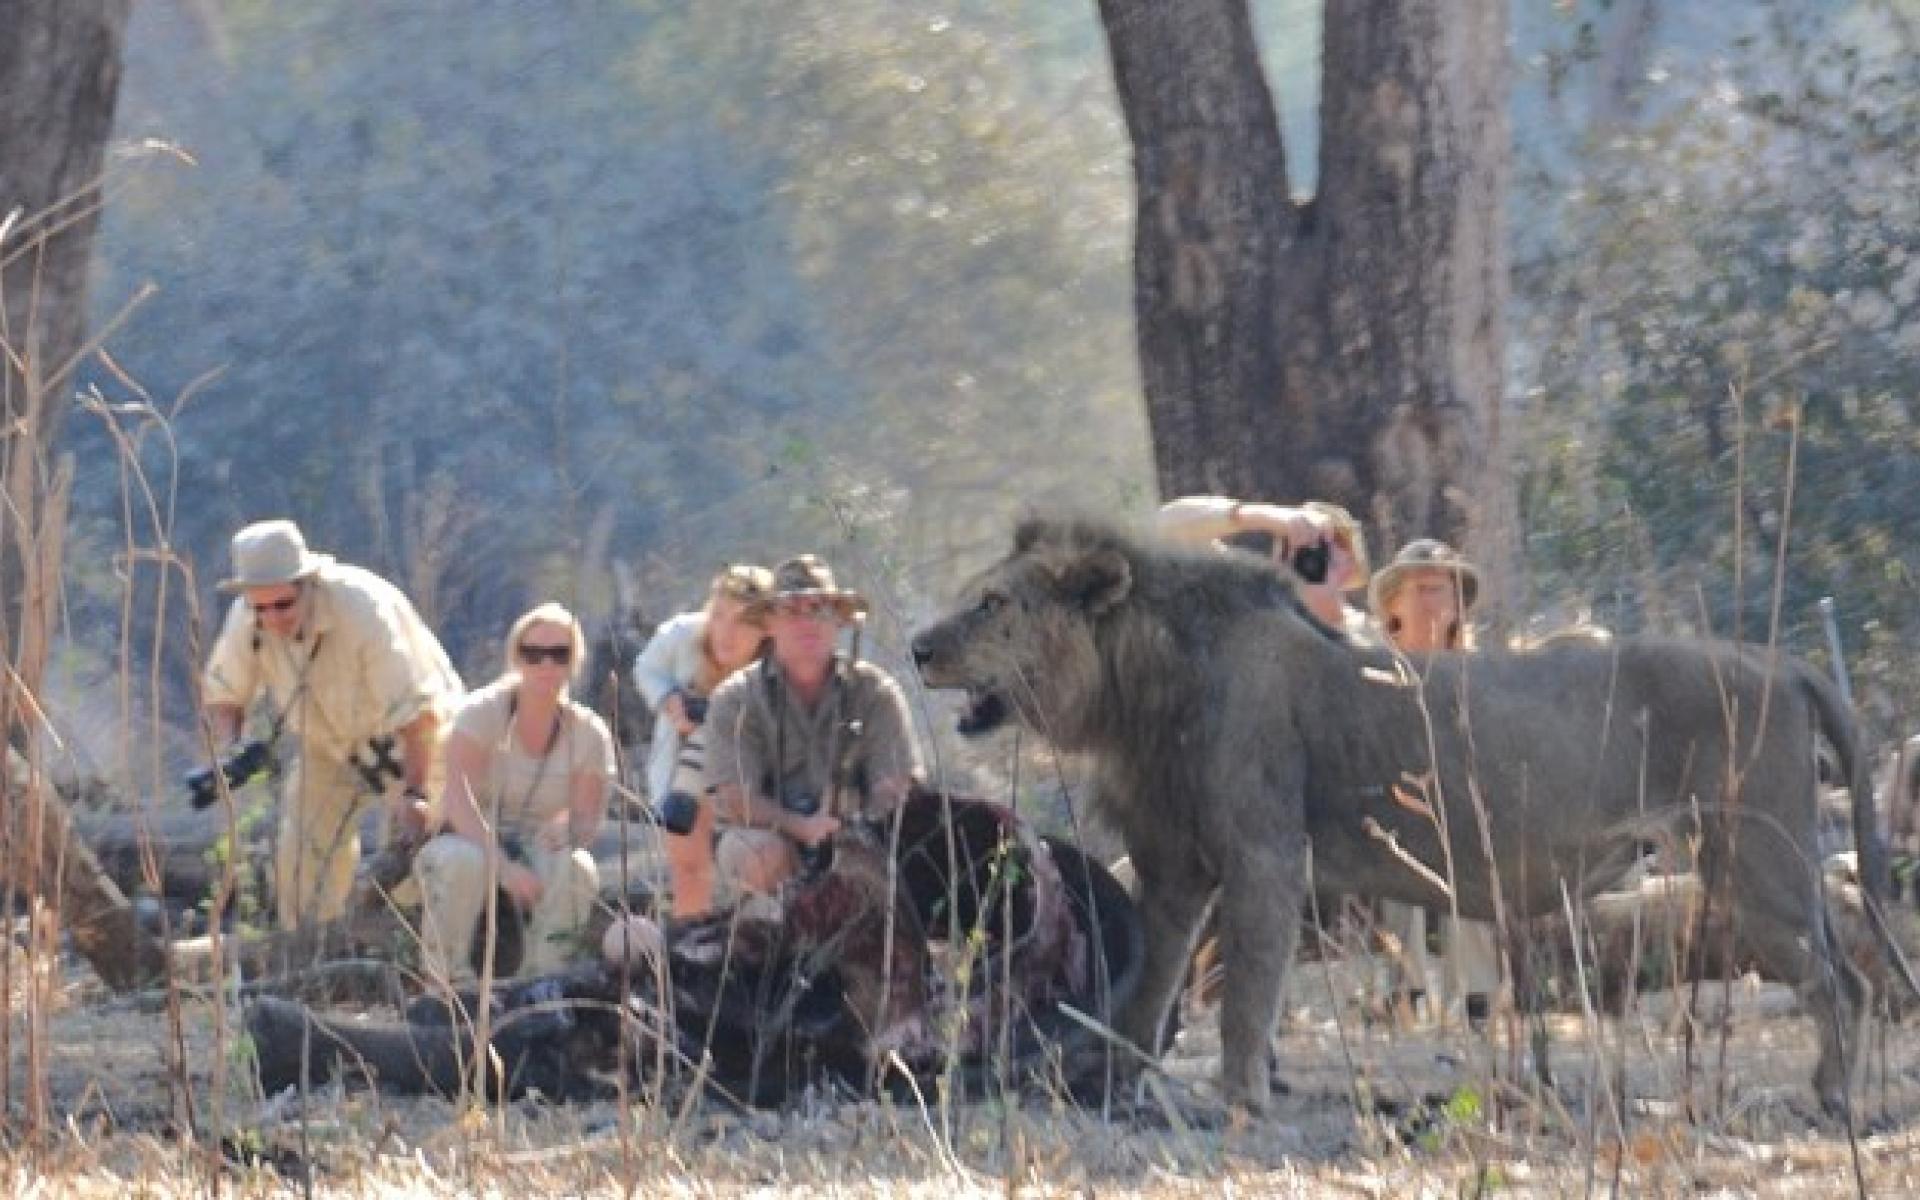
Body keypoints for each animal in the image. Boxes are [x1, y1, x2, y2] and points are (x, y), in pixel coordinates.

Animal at [910, 514, 1889, 1113]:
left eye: (991, 604)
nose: (918, 646)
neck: (1133, 690)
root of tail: (1781, 662)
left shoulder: (1266, 853)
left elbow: (1246, 997)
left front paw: (1237, 1100)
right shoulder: (1173, 866)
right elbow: (1149, 986)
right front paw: (1117, 1082)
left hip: (1754, 860)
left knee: (1842, 981)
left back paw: (1835, 1096)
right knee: (1846, 970)